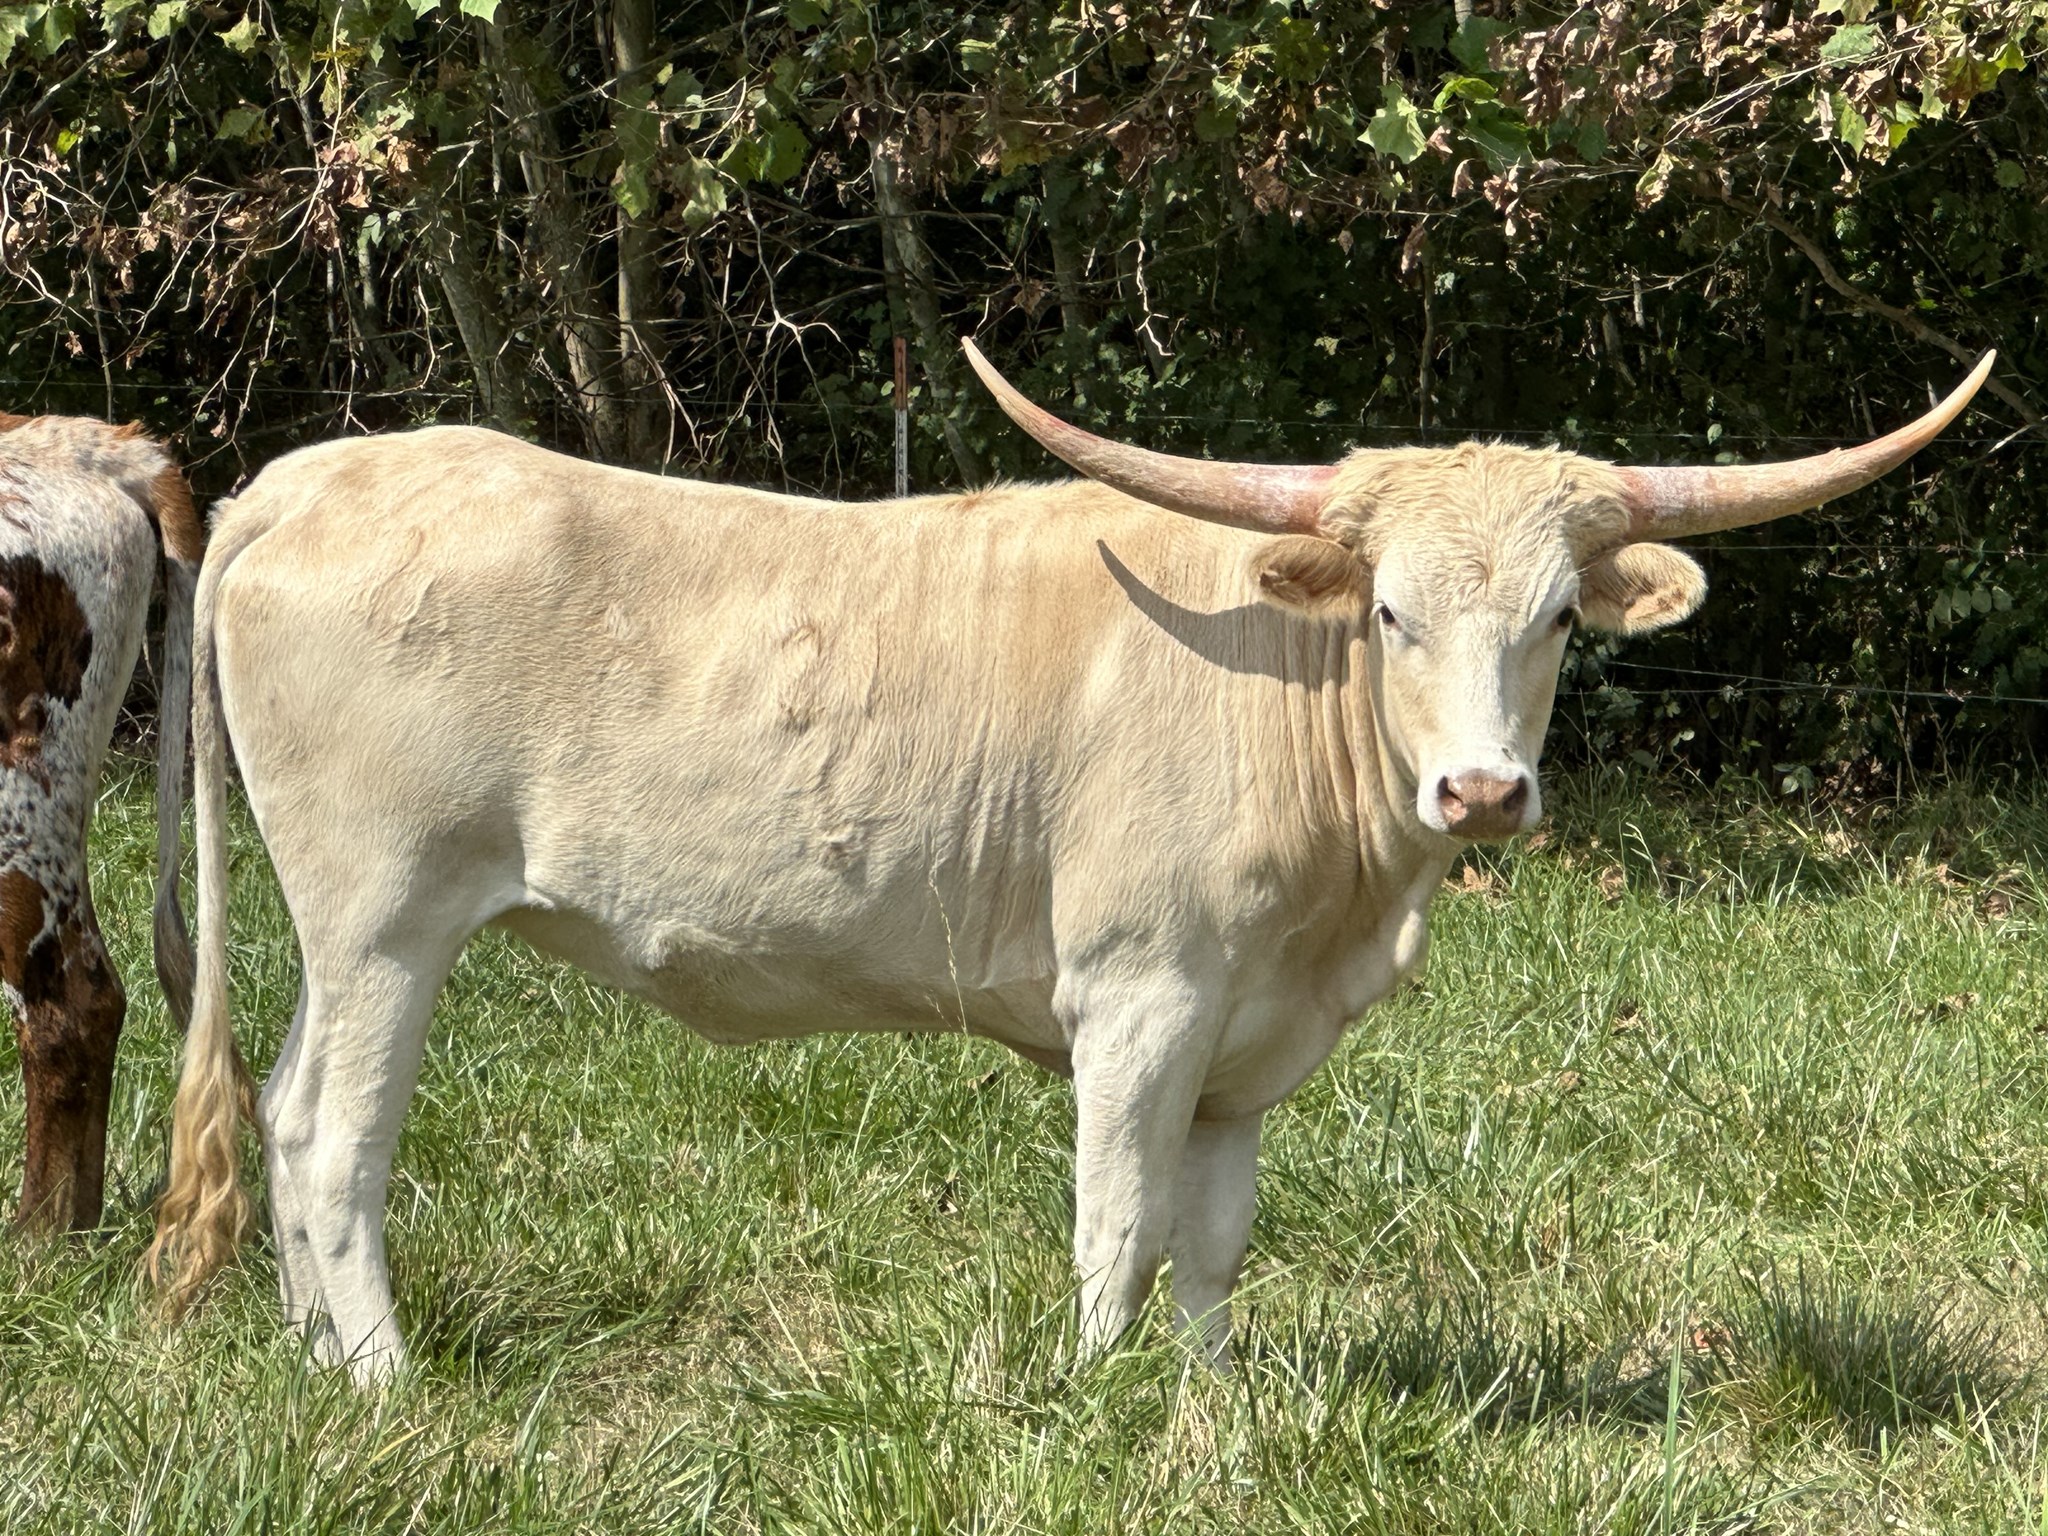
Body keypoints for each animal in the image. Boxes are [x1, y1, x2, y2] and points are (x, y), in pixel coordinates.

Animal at [149, 346, 1991, 1384]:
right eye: (1392, 612)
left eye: (1552, 622)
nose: (1480, 790)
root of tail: (303, 480)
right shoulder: (1140, 998)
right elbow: (1118, 1218)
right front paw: (1096, 1401)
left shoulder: (1249, 1044)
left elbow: (1212, 1235)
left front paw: (1205, 1401)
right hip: (386, 913)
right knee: (332, 1141)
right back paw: (383, 1380)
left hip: (345, 932)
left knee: (283, 1105)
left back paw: (311, 1361)